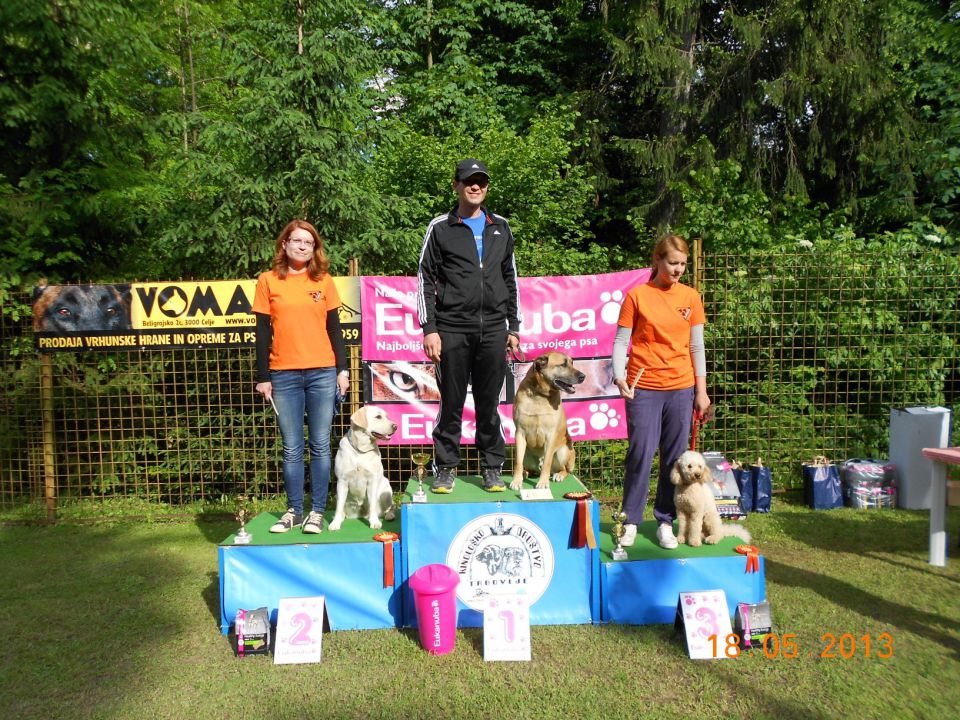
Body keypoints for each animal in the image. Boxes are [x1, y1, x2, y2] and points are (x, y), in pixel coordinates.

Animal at [510, 352, 584, 492]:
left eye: (572, 363)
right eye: (563, 364)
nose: (583, 376)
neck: (540, 395)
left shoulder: (551, 435)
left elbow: (547, 463)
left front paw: (543, 483)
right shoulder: (520, 433)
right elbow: (518, 462)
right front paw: (516, 481)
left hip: (563, 451)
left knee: (564, 469)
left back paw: (559, 475)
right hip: (527, 454)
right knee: (527, 467)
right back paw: (525, 473)